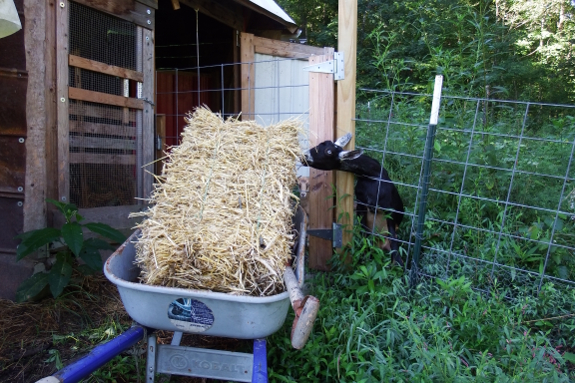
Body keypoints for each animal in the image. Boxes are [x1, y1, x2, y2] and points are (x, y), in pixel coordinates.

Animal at [302, 134, 404, 268]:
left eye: (329, 152)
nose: (304, 156)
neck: (373, 176)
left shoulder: (389, 209)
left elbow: (393, 238)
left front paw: (397, 262)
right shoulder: (361, 204)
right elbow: (365, 234)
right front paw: (366, 256)